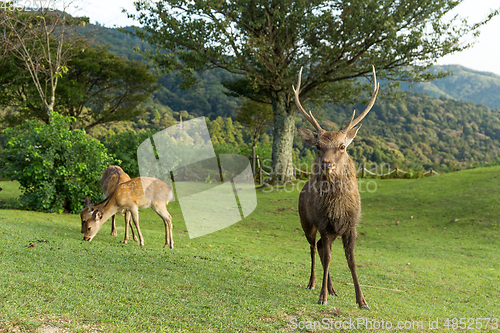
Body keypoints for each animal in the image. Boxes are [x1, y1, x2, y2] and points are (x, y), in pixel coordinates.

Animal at [292, 66, 378, 308]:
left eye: (341, 146)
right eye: (318, 146)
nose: (326, 163)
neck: (338, 209)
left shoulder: (351, 227)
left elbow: (352, 262)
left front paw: (362, 300)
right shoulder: (324, 224)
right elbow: (329, 257)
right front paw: (322, 297)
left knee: (321, 248)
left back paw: (332, 288)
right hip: (306, 222)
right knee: (314, 249)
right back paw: (313, 284)